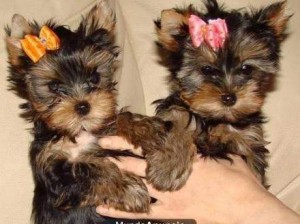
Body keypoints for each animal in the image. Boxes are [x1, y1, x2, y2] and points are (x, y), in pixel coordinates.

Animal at [5, 0, 196, 223]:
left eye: (95, 77)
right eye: (53, 86)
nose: (82, 106)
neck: (80, 132)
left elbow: (121, 117)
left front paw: (160, 143)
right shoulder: (54, 171)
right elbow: (88, 170)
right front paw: (129, 189)